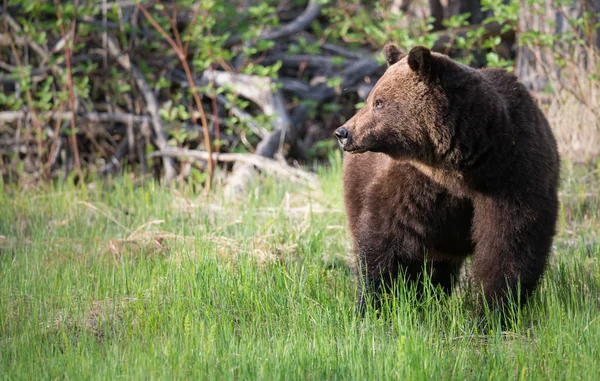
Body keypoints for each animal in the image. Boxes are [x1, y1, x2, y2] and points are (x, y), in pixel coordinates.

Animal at [336, 43, 560, 318]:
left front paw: (493, 311)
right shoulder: (417, 184)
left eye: (379, 102)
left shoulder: (515, 177)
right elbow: (384, 241)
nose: (343, 132)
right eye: (372, 99)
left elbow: (510, 245)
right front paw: (373, 305)